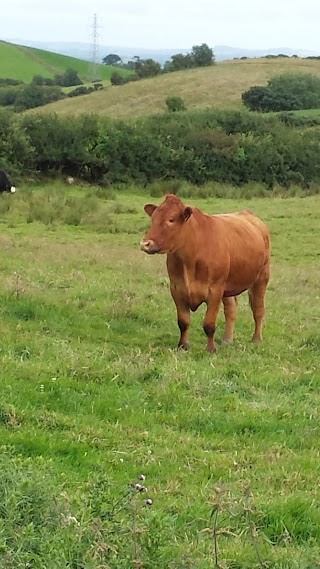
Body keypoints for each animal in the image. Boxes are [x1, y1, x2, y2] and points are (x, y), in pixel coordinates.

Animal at [140, 194, 270, 350]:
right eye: (153, 218)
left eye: (171, 219)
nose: (145, 244)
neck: (189, 260)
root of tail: (248, 214)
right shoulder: (176, 289)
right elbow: (183, 322)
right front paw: (183, 345)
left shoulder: (215, 290)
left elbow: (209, 324)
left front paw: (211, 349)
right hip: (228, 285)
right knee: (231, 309)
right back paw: (227, 339)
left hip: (262, 277)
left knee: (258, 309)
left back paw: (256, 339)